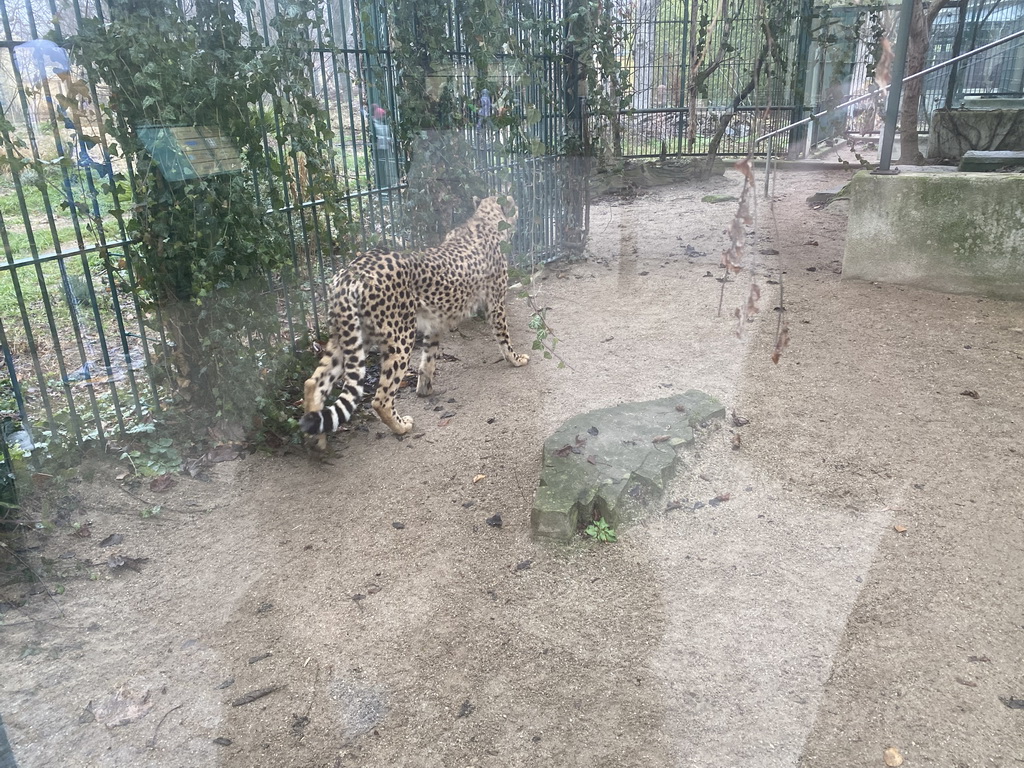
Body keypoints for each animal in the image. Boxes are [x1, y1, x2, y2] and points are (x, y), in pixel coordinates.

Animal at [299, 195, 528, 444]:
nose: (518, 209)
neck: (485, 221)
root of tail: (351, 273)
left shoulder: (435, 321)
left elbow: (428, 358)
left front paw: (424, 388)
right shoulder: (495, 305)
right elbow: (504, 338)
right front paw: (516, 359)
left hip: (350, 336)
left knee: (313, 383)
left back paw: (317, 440)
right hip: (400, 338)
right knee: (380, 399)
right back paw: (401, 427)